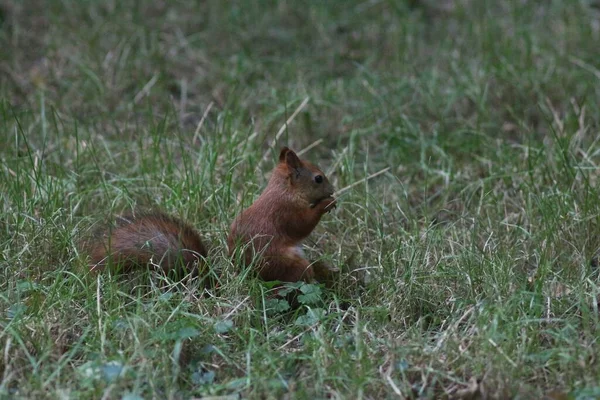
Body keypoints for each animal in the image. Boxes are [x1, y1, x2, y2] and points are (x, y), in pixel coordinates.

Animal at [84, 147, 336, 284]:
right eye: (318, 178)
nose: (332, 190)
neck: (283, 190)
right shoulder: (285, 211)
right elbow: (301, 224)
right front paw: (326, 204)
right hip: (288, 264)